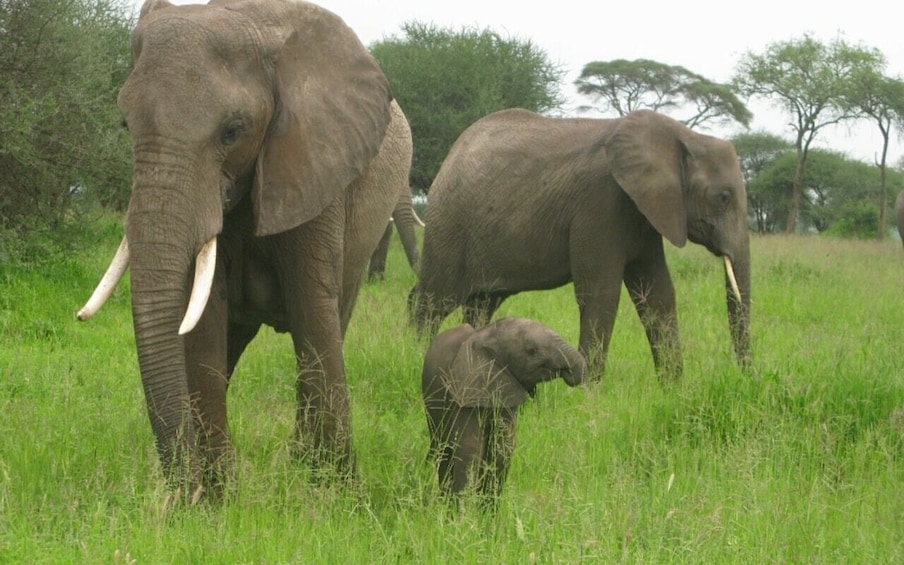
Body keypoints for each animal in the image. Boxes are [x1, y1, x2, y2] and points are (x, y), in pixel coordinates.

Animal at [76, 0, 412, 494]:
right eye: (125, 123)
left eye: (233, 131)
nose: (183, 492)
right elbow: (203, 326)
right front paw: (217, 497)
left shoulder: (316, 164)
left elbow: (314, 314)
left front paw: (338, 492)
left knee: (333, 321)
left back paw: (302, 459)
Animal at [410, 107, 748, 378]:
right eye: (723, 197)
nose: (746, 376)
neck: (681, 134)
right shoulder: (599, 203)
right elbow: (601, 295)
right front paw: (589, 393)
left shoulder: (646, 213)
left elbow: (658, 294)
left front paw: (674, 389)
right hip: (448, 225)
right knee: (433, 300)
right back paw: (413, 352)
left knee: (481, 305)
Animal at [422, 318, 588, 502]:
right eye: (531, 350)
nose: (571, 374)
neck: (487, 335)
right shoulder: (465, 391)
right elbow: (470, 448)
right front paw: (461, 508)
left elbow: (502, 449)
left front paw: (486, 509)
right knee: (444, 449)